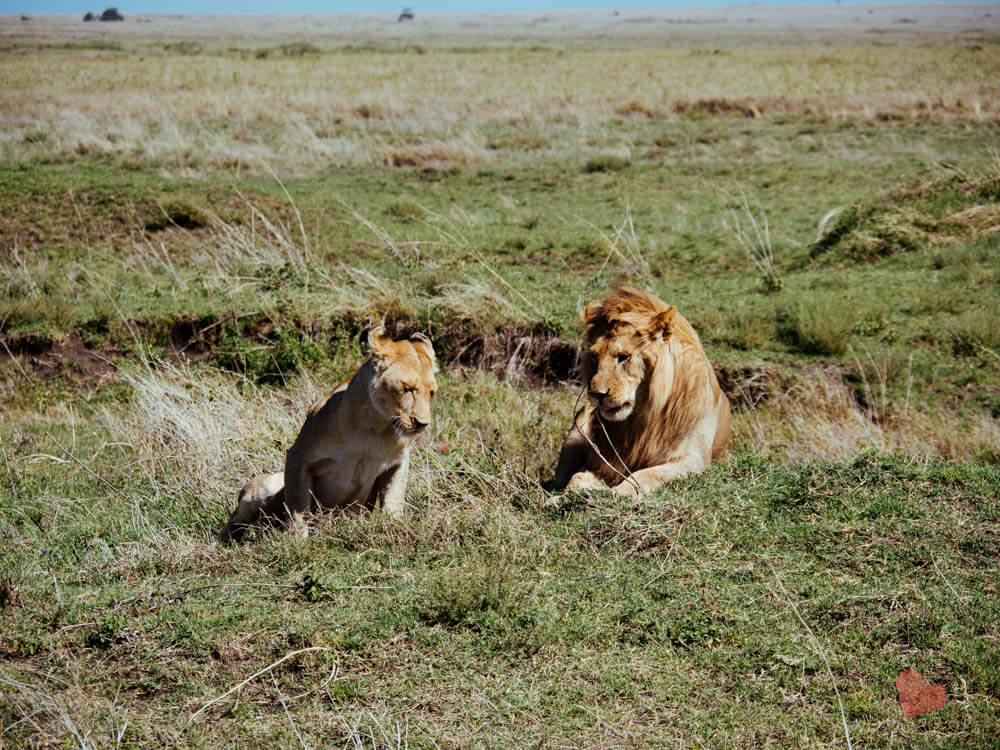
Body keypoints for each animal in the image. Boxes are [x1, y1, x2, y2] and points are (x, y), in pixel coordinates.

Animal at [223, 328, 438, 540]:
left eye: (432, 393)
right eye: (408, 389)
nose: (422, 424)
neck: (374, 427)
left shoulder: (398, 462)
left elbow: (393, 500)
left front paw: (393, 529)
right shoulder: (298, 457)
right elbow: (299, 504)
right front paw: (298, 540)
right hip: (265, 485)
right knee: (235, 519)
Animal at [548, 288, 728, 500]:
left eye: (624, 357)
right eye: (594, 356)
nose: (596, 394)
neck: (643, 417)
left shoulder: (695, 458)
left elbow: (646, 475)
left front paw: (616, 493)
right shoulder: (601, 461)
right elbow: (577, 476)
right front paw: (563, 497)